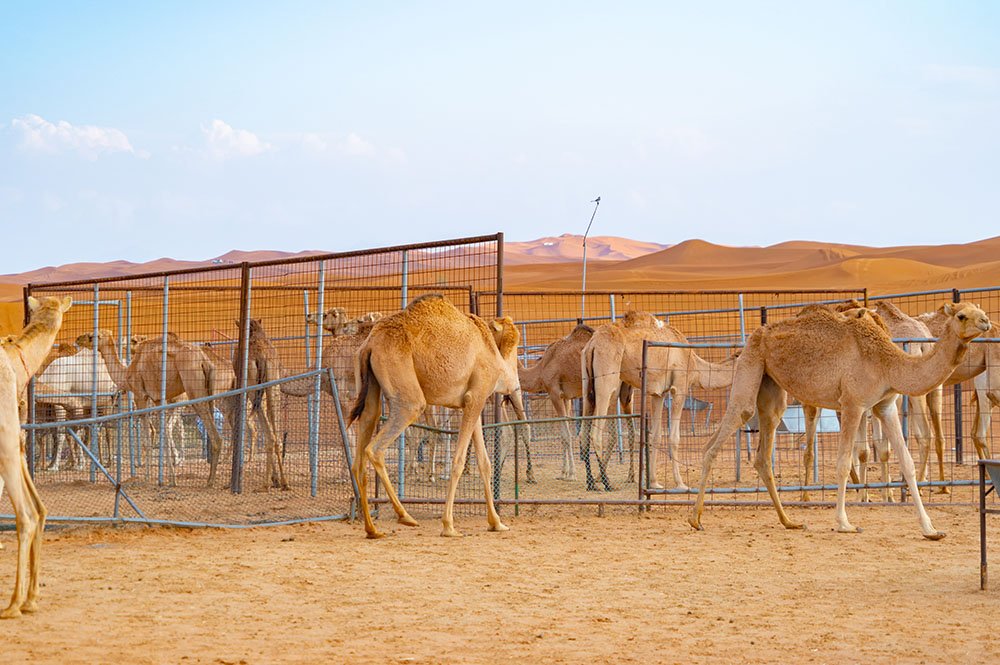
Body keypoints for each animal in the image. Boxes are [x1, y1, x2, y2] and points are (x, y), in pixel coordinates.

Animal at [348, 294, 523, 538]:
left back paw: (372, 529)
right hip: (409, 397)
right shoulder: (475, 397)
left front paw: (496, 523)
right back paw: (405, 516)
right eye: (514, 343)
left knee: (363, 442)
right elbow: (458, 461)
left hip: (369, 384)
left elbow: (485, 462)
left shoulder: (474, 402)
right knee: (376, 448)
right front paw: (449, 526)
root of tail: (369, 345)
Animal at [581, 311, 737, 492]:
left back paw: (591, 483)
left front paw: (654, 482)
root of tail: (592, 344)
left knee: (583, 432)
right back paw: (607, 483)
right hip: (607, 383)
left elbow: (656, 435)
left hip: (587, 385)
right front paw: (681, 484)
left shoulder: (658, 394)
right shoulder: (679, 387)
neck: (695, 364)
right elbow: (674, 438)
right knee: (596, 433)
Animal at [688, 302, 991, 540]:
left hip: (772, 387)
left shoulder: (885, 406)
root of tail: (756, 333)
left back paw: (789, 521)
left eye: (979, 310)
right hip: (751, 366)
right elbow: (845, 462)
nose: (987, 322)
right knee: (722, 434)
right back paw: (695, 518)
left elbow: (906, 462)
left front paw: (930, 529)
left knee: (763, 454)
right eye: (962, 315)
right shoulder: (853, 404)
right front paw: (845, 523)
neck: (887, 362)